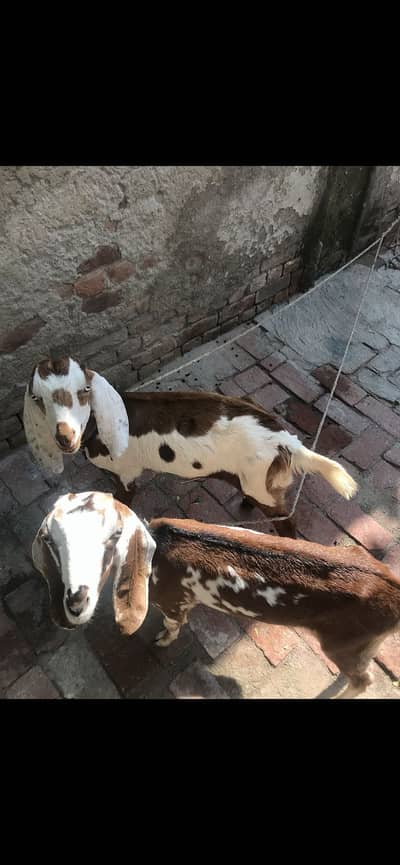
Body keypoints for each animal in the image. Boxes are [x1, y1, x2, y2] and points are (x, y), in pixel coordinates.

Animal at [23, 355, 357, 538]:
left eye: (85, 390)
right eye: (37, 398)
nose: (65, 437)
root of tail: (286, 442)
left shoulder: (129, 472)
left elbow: (124, 501)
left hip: (262, 482)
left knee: (286, 518)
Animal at [33, 491, 400, 699]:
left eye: (113, 537)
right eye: (53, 539)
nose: (75, 600)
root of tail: (393, 593)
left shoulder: (176, 601)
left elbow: (174, 625)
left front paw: (162, 640)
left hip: (344, 643)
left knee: (365, 679)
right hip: (362, 641)